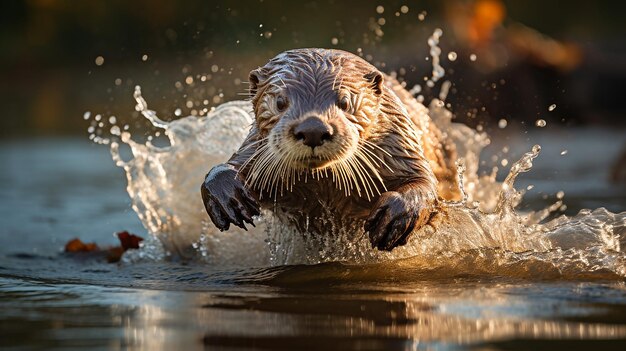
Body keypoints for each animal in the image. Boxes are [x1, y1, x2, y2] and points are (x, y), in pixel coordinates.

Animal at [202, 49, 456, 252]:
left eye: (345, 102)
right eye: (280, 102)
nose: (313, 128)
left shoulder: (400, 147)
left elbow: (424, 183)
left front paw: (395, 216)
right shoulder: (254, 149)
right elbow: (226, 168)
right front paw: (227, 194)